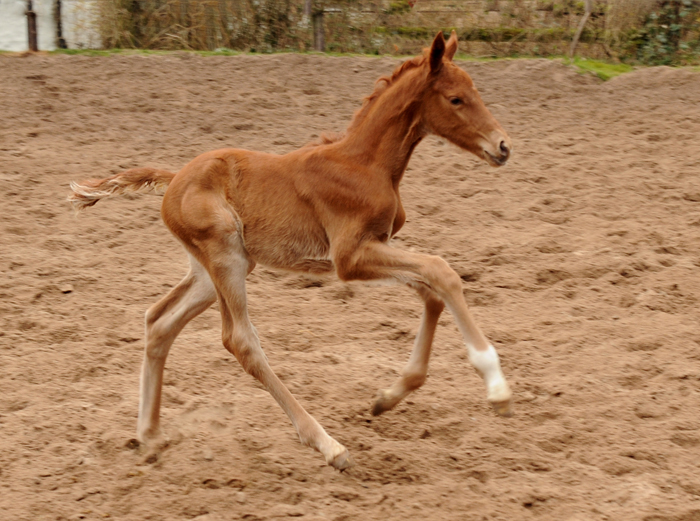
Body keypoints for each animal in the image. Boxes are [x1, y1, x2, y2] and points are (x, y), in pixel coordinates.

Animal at [71, 33, 516, 472]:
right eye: (456, 99)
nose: (503, 146)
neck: (365, 165)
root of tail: (175, 177)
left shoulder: (377, 247)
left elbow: (430, 292)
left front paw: (389, 397)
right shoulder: (349, 258)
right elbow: (442, 272)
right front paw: (496, 385)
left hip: (212, 270)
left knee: (160, 321)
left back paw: (149, 436)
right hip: (225, 256)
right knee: (239, 340)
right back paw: (328, 445)